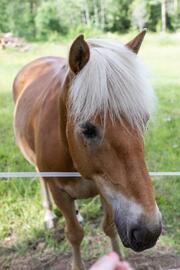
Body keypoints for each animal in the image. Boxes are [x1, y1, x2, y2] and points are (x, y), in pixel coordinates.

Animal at [12, 30, 162, 268]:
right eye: (87, 129)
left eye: (144, 121)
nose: (149, 231)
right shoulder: (60, 192)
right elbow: (74, 234)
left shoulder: (107, 188)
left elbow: (109, 227)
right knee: (41, 181)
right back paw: (49, 216)